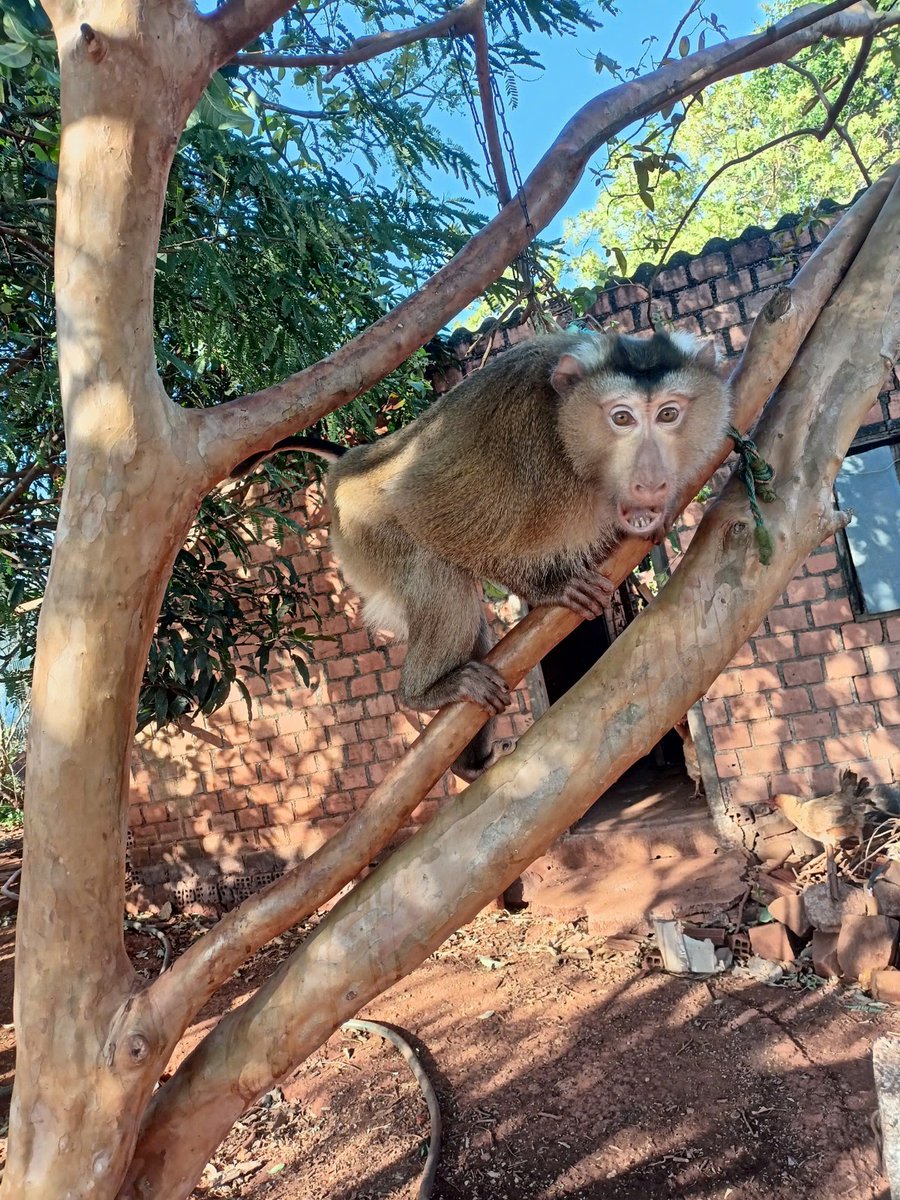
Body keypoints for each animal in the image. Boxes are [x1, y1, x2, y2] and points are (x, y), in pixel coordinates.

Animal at [234, 330, 732, 780]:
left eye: (669, 414)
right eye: (622, 418)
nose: (650, 480)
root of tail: (352, 460)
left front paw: (655, 518)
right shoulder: (530, 446)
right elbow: (424, 512)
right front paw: (549, 588)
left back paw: (467, 763)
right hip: (361, 533)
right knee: (433, 561)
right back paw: (423, 693)